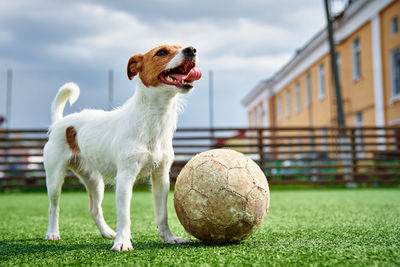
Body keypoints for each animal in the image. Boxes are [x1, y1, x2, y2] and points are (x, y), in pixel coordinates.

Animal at [43, 44, 203, 251]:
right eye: (161, 52)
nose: (192, 49)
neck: (153, 118)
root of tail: (59, 122)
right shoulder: (125, 178)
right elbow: (125, 216)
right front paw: (122, 242)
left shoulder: (161, 178)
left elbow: (162, 214)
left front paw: (169, 238)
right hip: (55, 178)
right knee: (53, 207)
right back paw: (53, 233)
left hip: (95, 181)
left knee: (94, 209)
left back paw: (107, 232)